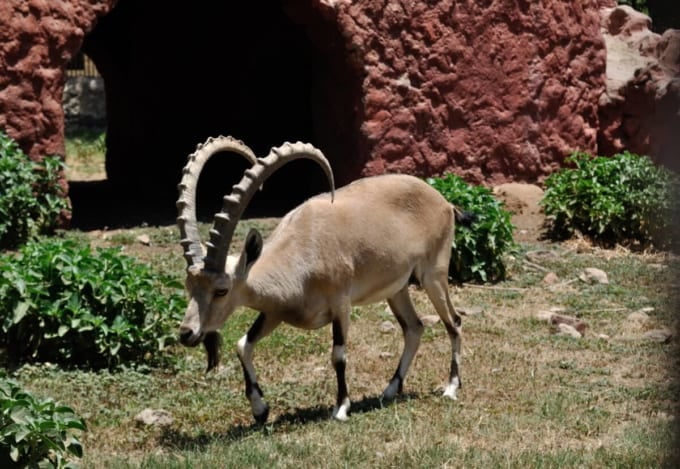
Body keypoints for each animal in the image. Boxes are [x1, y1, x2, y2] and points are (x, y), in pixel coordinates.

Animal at [176, 135, 464, 423]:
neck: (302, 256)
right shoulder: (275, 312)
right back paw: (390, 390)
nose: (187, 334)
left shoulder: (341, 303)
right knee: (414, 328)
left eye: (221, 290)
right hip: (397, 288)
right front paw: (260, 409)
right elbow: (243, 345)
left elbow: (338, 355)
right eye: (189, 286)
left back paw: (451, 388)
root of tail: (444, 203)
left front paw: (341, 408)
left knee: (453, 321)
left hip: (433, 274)